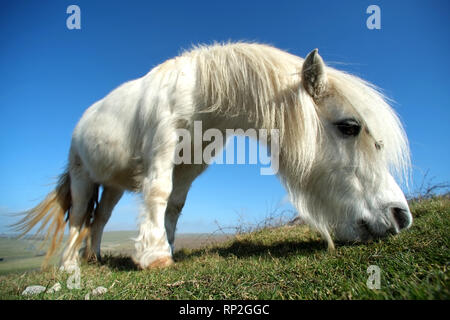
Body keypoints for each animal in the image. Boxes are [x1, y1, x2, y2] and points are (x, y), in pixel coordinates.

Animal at [15, 42, 414, 270]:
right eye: (349, 126)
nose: (401, 216)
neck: (196, 92)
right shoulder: (161, 149)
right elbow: (158, 193)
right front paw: (155, 256)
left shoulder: (190, 166)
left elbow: (174, 206)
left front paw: (168, 246)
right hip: (83, 177)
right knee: (80, 216)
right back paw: (70, 266)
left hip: (112, 186)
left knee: (99, 220)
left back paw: (94, 258)